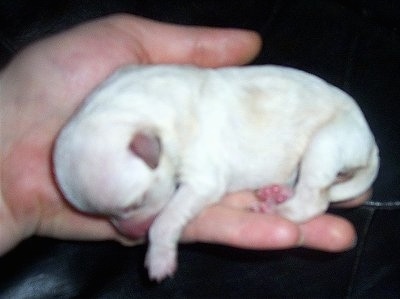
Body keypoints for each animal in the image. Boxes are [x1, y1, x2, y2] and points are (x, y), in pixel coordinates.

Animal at [53, 64, 378, 282]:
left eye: (135, 204)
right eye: (99, 216)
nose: (131, 235)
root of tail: (371, 144)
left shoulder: (203, 179)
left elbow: (166, 220)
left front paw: (158, 260)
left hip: (327, 142)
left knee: (313, 201)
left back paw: (275, 209)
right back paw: (278, 192)